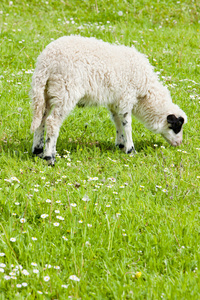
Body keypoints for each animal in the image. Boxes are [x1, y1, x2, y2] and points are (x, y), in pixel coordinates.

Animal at [30, 36, 187, 166]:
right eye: (177, 126)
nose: (179, 144)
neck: (145, 91)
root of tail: (46, 63)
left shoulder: (115, 101)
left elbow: (117, 121)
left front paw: (120, 144)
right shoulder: (126, 97)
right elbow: (127, 124)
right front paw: (130, 149)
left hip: (46, 93)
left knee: (41, 119)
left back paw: (38, 151)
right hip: (65, 91)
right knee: (52, 122)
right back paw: (50, 157)